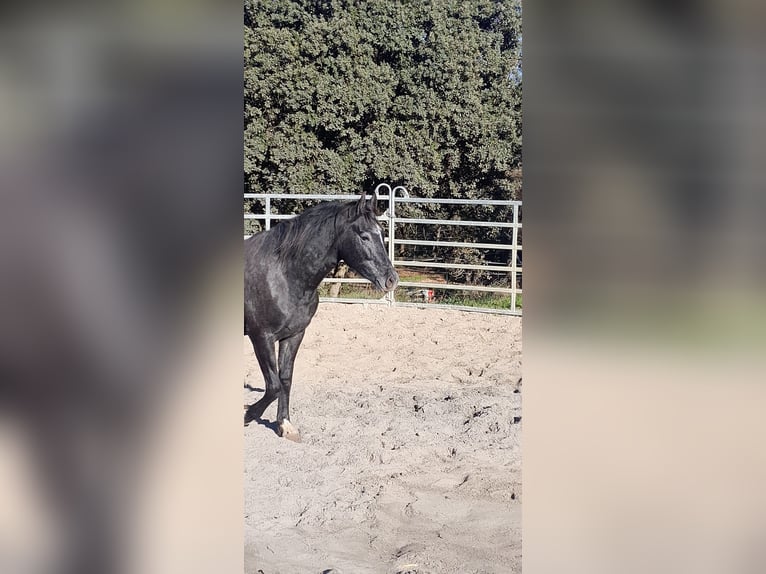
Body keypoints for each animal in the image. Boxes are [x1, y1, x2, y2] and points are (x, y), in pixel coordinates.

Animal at [246, 191, 402, 444]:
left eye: (381, 233)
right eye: (364, 236)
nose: (391, 280)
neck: (283, 274)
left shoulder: (294, 335)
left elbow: (285, 379)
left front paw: (285, 425)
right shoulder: (261, 337)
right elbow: (273, 385)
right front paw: (247, 414)